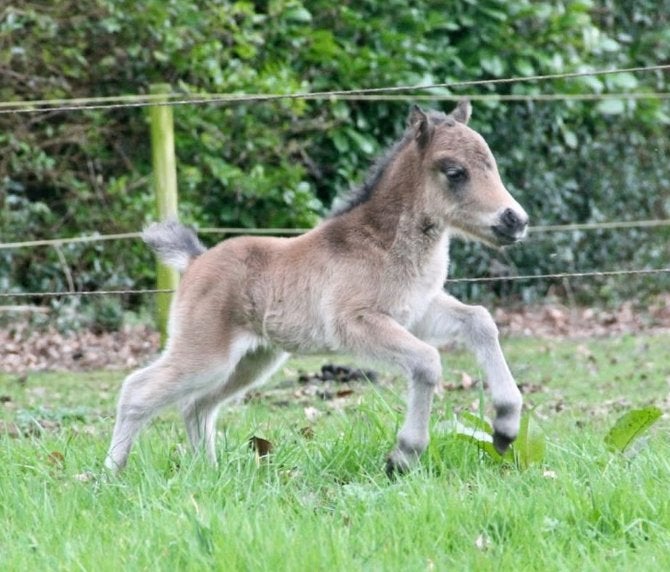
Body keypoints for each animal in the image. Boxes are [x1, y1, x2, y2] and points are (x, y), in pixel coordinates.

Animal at [105, 100, 529, 475]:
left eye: (492, 165)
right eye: (455, 171)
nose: (516, 220)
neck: (381, 242)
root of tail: (195, 261)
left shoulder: (417, 311)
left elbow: (479, 320)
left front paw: (505, 427)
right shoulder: (355, 322)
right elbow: (427, 361)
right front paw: (404, 455)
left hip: (252, 361)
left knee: (197, 405)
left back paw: (209, 473)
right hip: (205, 353)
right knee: (138, 390)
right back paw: (109, 474)